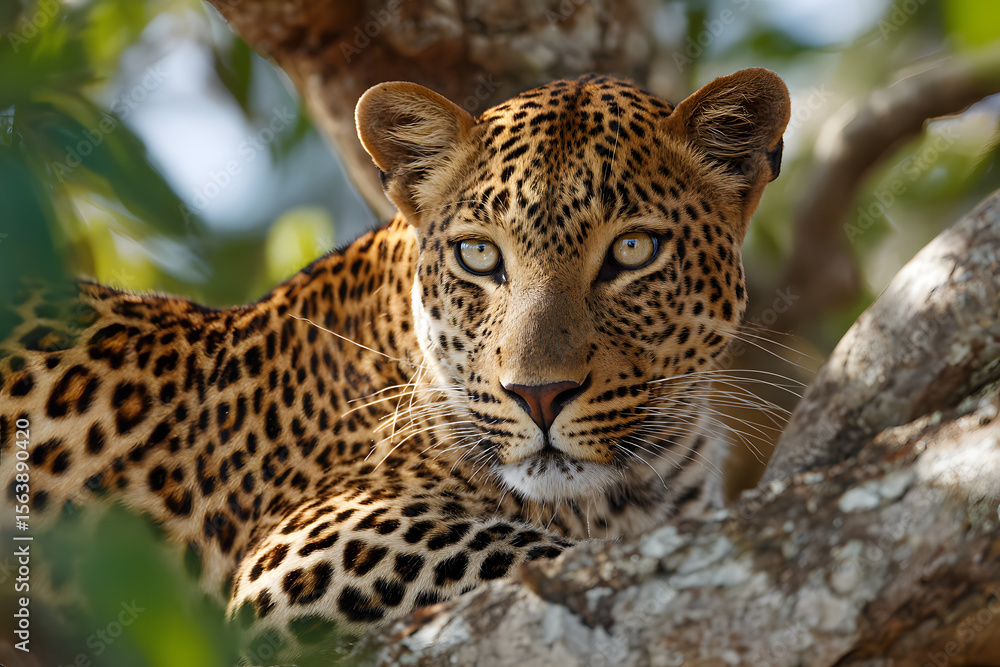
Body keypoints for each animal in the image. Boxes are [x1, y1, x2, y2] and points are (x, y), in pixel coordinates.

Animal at [0, 68, 790, 662]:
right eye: (480, 254)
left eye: (632, 250)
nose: (540, 395)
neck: (641, 483)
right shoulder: (302, 552)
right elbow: (538, 553)